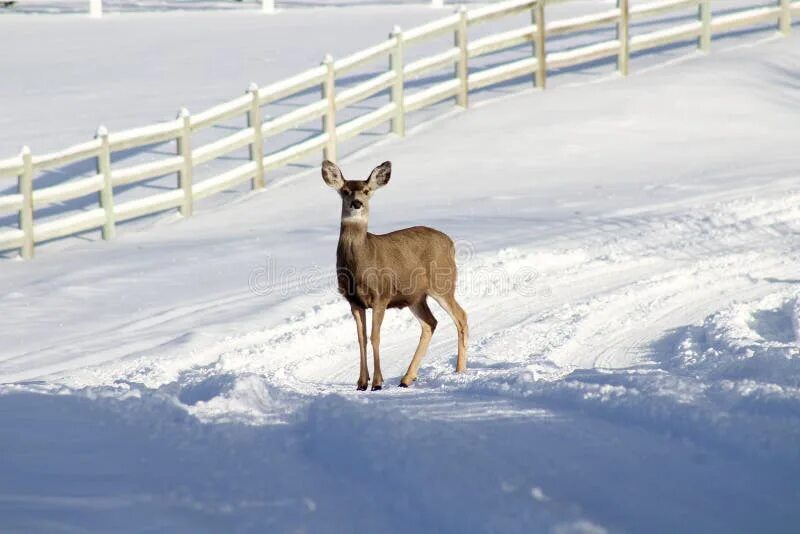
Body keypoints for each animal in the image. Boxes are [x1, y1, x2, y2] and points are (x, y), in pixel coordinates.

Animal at [320, 161, 468, 392]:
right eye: (345, 191)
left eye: (366, 190)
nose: (356, 203)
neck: (360, 264)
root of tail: (450, 243)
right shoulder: (353, 301)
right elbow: (361, 339)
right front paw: (361, 383)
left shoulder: (381, 295)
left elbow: (375, 336)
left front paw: (377, 382)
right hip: (416, 297)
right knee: (430, 323)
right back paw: (407, 378)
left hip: (442, 283)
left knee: (461, 316)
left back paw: (459, 370)